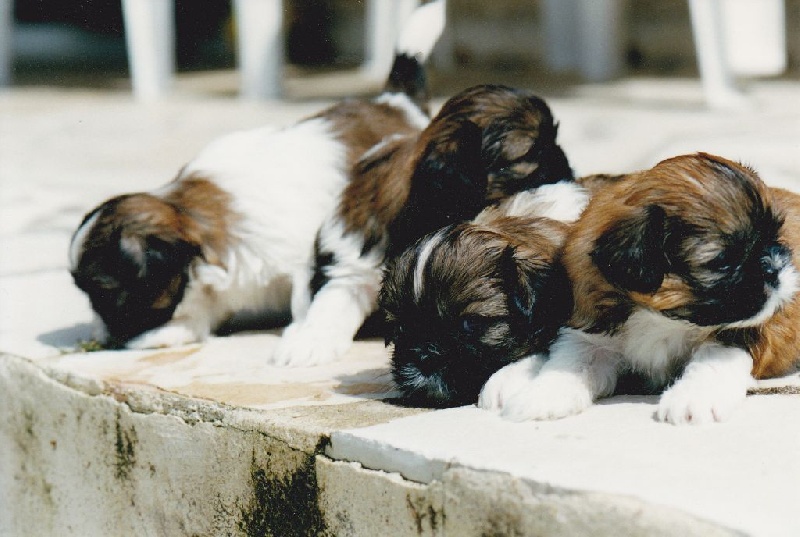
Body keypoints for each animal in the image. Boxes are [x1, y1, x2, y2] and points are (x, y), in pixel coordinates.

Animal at [69, 0, 446, 350]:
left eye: (105, 293)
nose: (100, 336)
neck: (192, 214)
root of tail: (395, 102)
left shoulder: (305, 253)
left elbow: (304, 298)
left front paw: (303, 334)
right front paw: (173, 331)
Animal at [482, 153, 800, 426]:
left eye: (775, 236)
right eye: (722, 261)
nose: (774, 269)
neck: (660, 317)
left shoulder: (739, 332)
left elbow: (713, 361)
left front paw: (691, 401)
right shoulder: (592, 337)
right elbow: (571, 365)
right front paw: (542, 396)